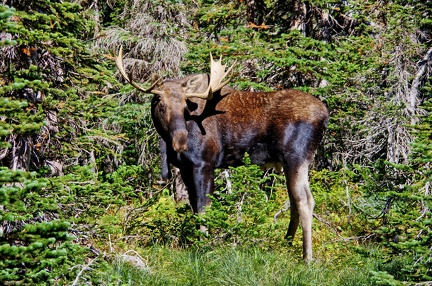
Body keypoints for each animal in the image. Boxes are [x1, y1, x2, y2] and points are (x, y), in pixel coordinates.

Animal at [115, 47, 328, 262]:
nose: (181, 142)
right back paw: (287, 243)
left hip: (296, 158)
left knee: (305, 201)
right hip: (289, 162)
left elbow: (204, 207)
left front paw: (204, 245)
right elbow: (194, 206)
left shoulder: (204, 163)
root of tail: (325, 116)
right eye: (161, 105)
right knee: (294, 201)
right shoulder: (185, 168)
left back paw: (307, 256)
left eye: (185, 106)